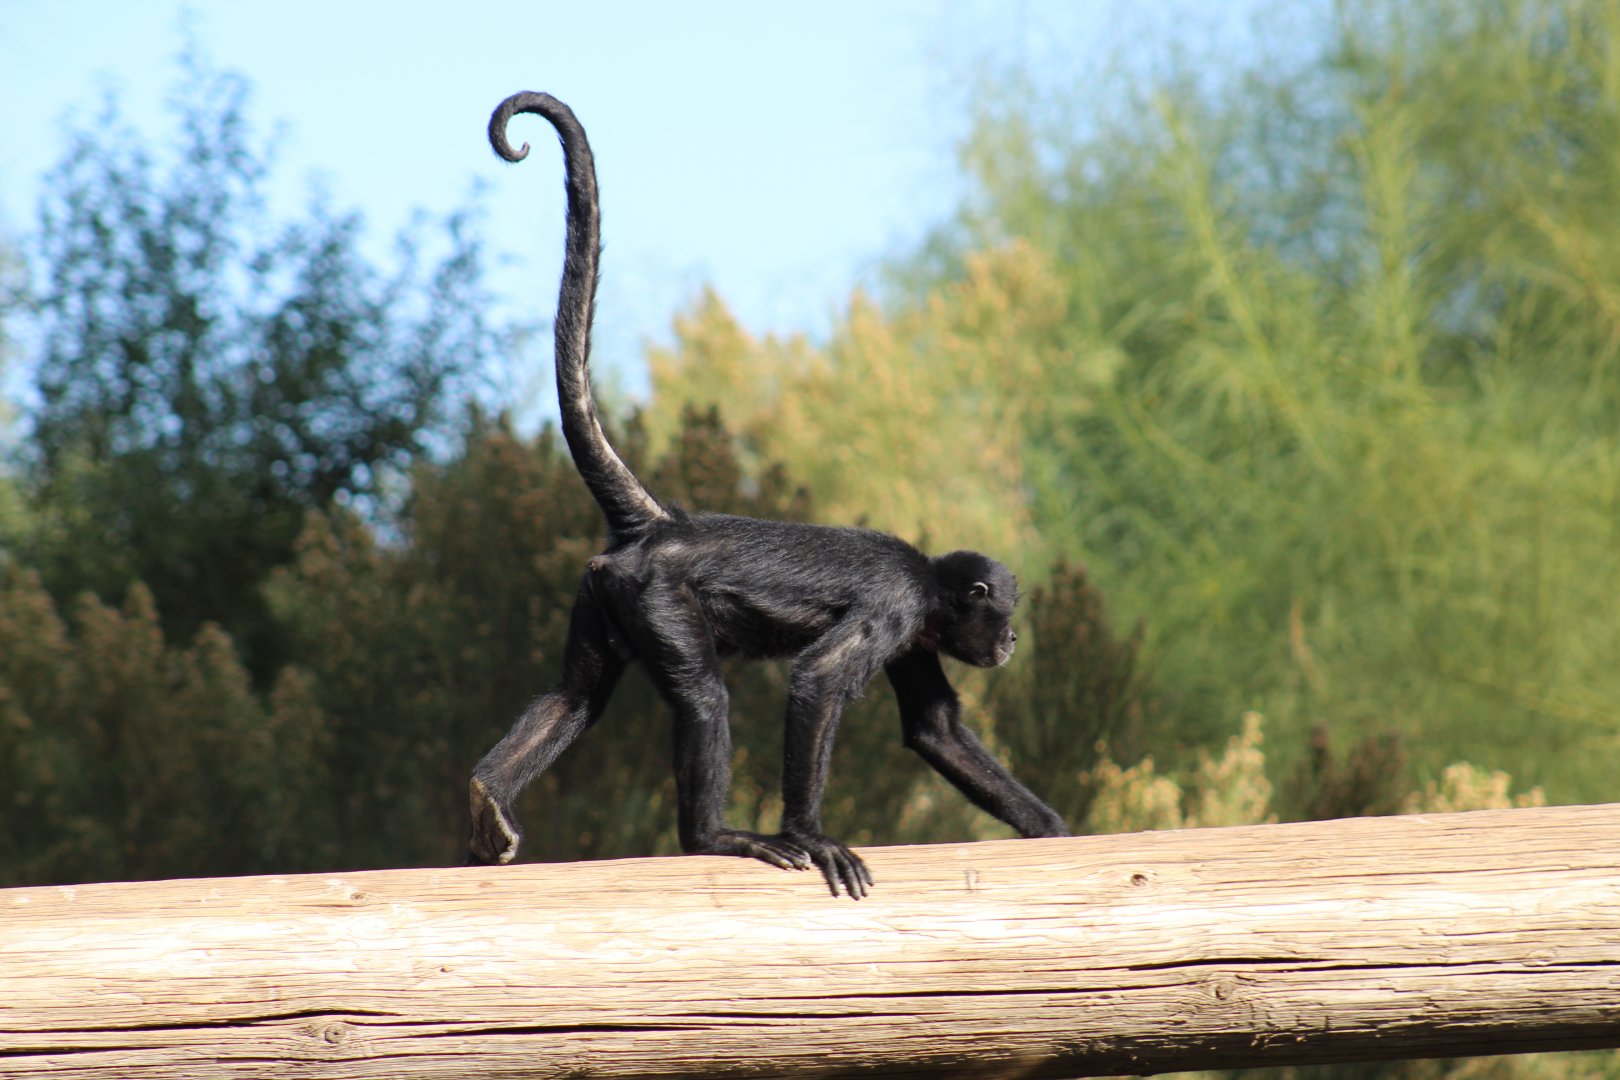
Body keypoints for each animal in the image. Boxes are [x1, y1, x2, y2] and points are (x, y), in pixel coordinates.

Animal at [467, 91, 1069, 898]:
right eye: (1003, 611)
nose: (1010, 640)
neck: (927, 583)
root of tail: (667, 525)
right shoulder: (899, 603)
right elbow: (817, 680)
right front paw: (811, 834)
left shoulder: (915, 628)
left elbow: (935, 730)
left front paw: (1053, 830)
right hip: (657, 596)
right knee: (701, 695)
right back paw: (712, 837)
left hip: (604, 591)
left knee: (575, 695)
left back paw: (488, 796)